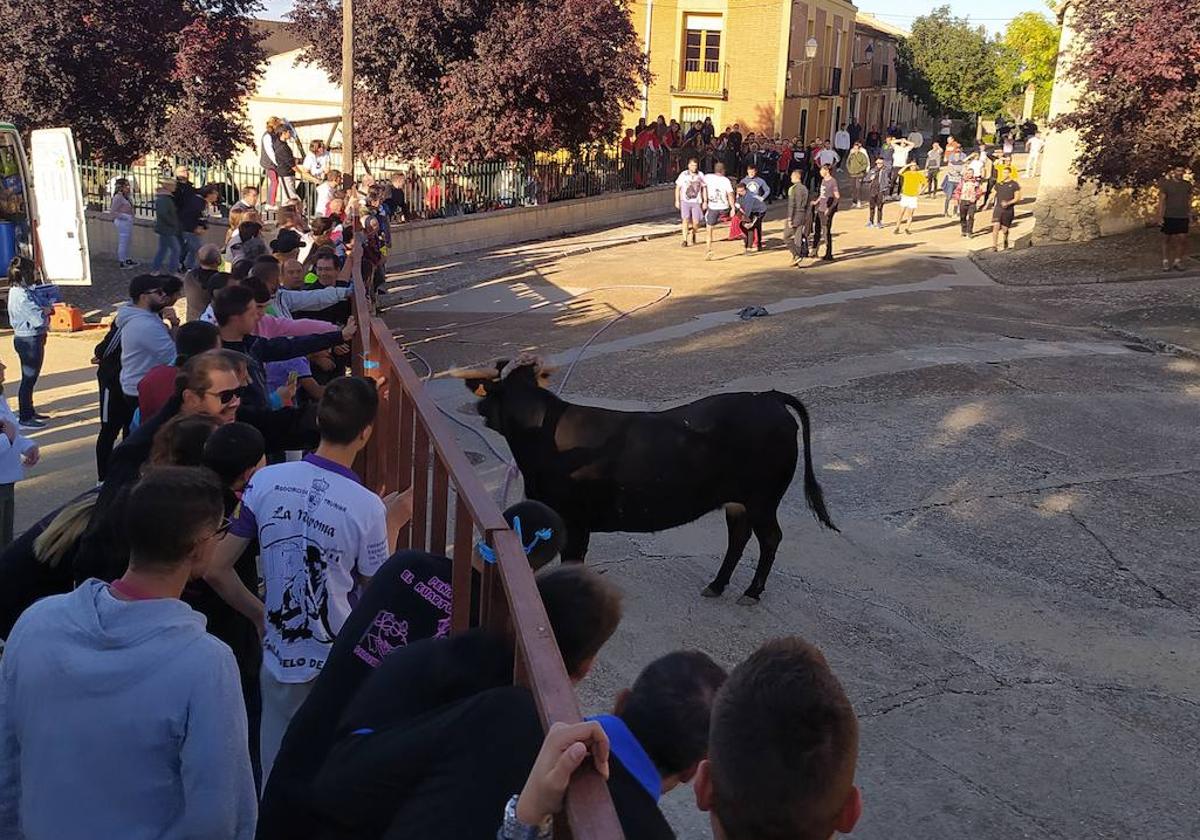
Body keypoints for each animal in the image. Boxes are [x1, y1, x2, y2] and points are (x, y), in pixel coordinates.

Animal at [453, 360, 840, 604]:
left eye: (492, 393)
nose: (477, 410)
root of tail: (768, 397)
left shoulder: (574, 521)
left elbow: (573, 562)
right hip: (738, 500)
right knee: (739, 537)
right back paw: (717, 585)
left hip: (762, 499)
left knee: (770, 538)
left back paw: (751, 592)